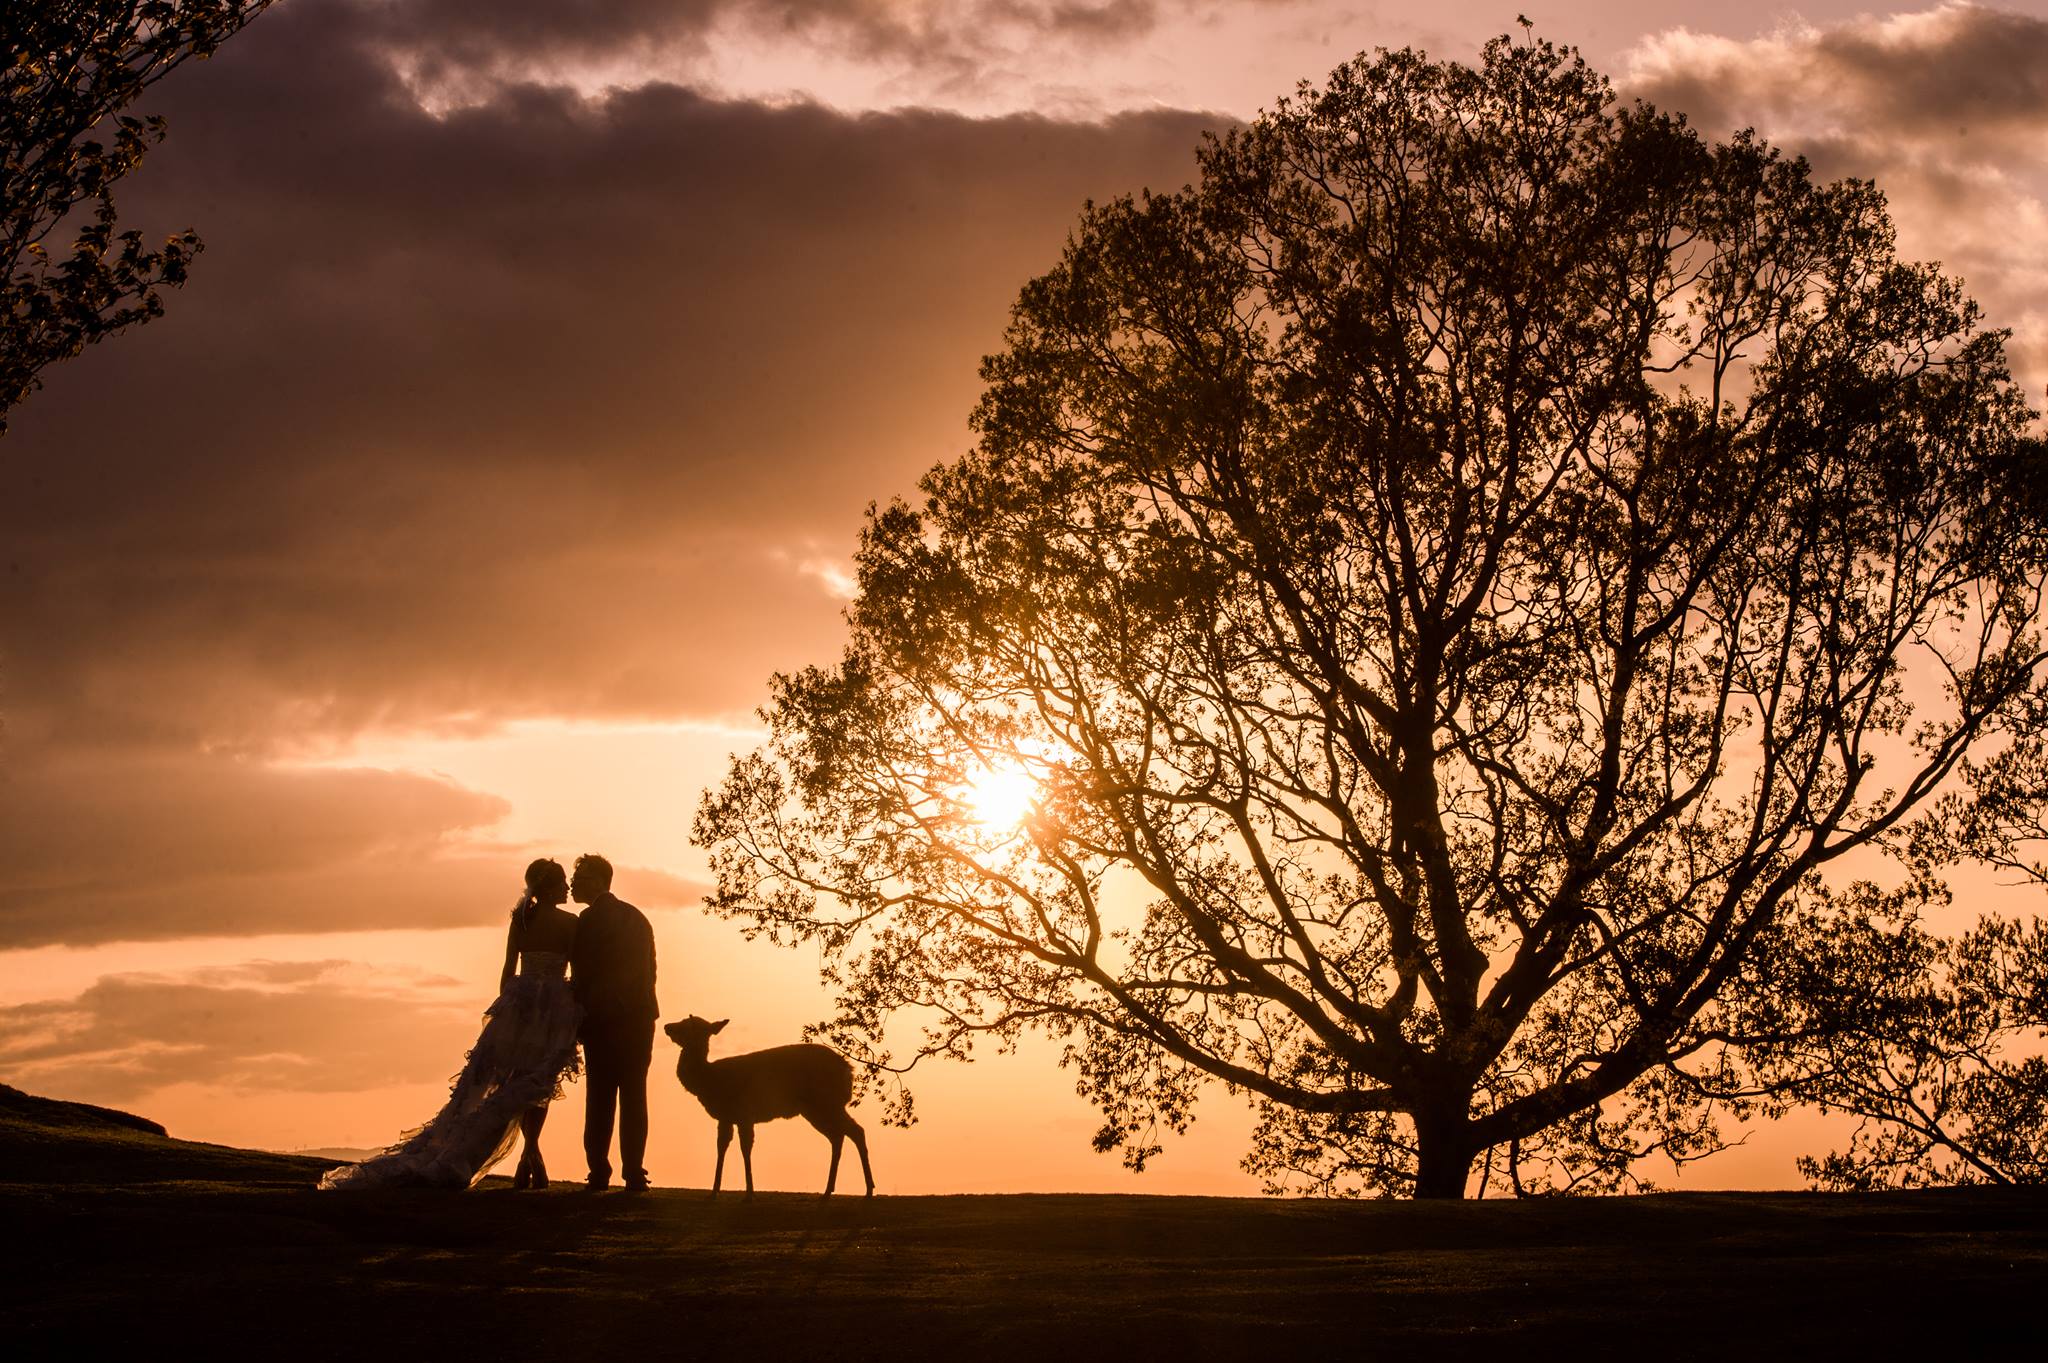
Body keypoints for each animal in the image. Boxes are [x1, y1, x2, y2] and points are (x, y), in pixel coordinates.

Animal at [663, 1006, 872, 1186]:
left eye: (687, 1024)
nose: (667, 1026)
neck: (709, 1080)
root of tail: (848, 1070)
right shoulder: (726, 1117)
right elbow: (721, 1148)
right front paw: (714, 1192)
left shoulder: (744, 1113)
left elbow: (745, 1149)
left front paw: (749, 1194)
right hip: (821, 1108)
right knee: (846, 1133)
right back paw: (842, 1192)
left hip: (825, 1102)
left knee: (847, 1133)